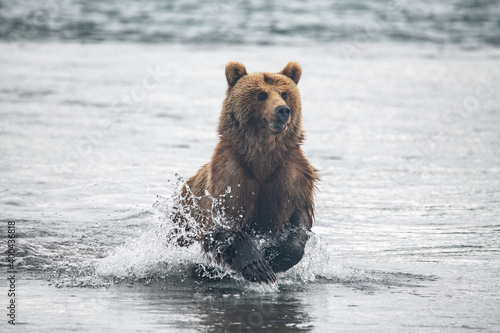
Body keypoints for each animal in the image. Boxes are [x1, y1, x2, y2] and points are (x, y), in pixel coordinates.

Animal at [174, 61, 318, 282]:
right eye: (261, 94)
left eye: (285, 93)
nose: (282, 110)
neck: (262, 158)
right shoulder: (230, 176)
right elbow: (223, 225)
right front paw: (257, 266)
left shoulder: (293, 177)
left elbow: (300, 220)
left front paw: (275, 257)